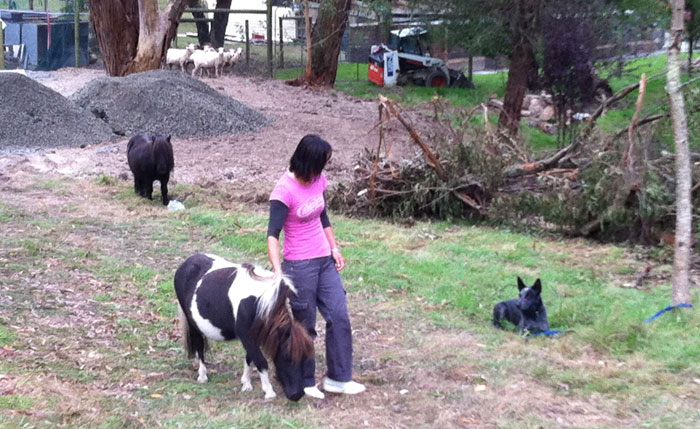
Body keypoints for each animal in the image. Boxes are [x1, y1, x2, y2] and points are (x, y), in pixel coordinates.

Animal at [174, 252, 314, 400]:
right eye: (287, 357)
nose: (297, 395)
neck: (259, 303)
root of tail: (187, 262)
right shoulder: (246, 336)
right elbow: (260, 361)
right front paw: (269, 391)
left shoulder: (254, 336)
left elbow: (249, 358)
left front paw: (246, 383)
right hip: (193, 324)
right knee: (199, 346)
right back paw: (202, 375)